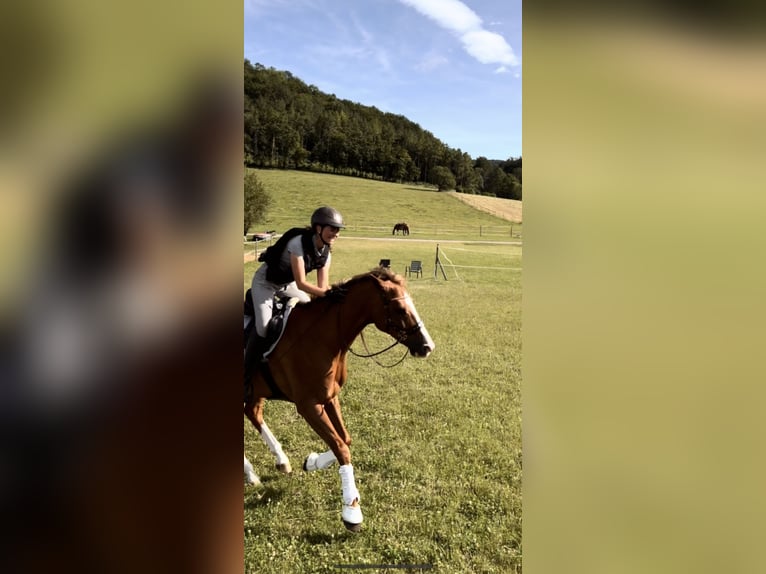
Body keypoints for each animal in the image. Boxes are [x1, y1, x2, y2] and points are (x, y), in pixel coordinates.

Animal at [246, 268, 438, 532]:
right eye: (399, 308)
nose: (428, 346)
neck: (323, 338)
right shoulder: (308, 406)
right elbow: (340, 447)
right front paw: (351, 510)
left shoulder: (329, 398)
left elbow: (344, 440)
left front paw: (312, 462)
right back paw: (250, 472)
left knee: (253, 413)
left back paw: (280, 461)